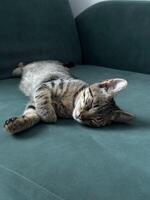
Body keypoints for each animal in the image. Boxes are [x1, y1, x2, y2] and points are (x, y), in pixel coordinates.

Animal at [3, 60, 133, 134]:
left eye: (93, 121)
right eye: (89, 104)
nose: (80, 116)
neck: (70, 103)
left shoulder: (36, 100)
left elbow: (33, 114)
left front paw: (16, 124)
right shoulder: (45, 86)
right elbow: (42, 101)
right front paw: (48, 114)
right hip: (22, 70)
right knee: (21, 66)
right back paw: (19, 65)